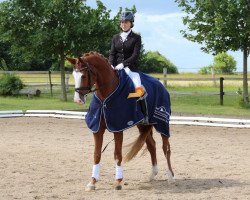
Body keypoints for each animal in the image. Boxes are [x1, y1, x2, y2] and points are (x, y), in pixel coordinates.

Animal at [66, 51, 174, 191]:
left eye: (83, 75)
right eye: (74, 75)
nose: (78, 100)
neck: (105, 95)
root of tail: (161, 85)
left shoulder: (117, 128)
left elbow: (117, 154)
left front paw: (118, 182)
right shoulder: (97, 129)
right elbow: (96, 155)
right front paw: (92, 182)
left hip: (162, 123)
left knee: (166, 148)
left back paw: (170, 177)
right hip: (143, 124)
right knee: (152, 145)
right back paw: (152, 174)